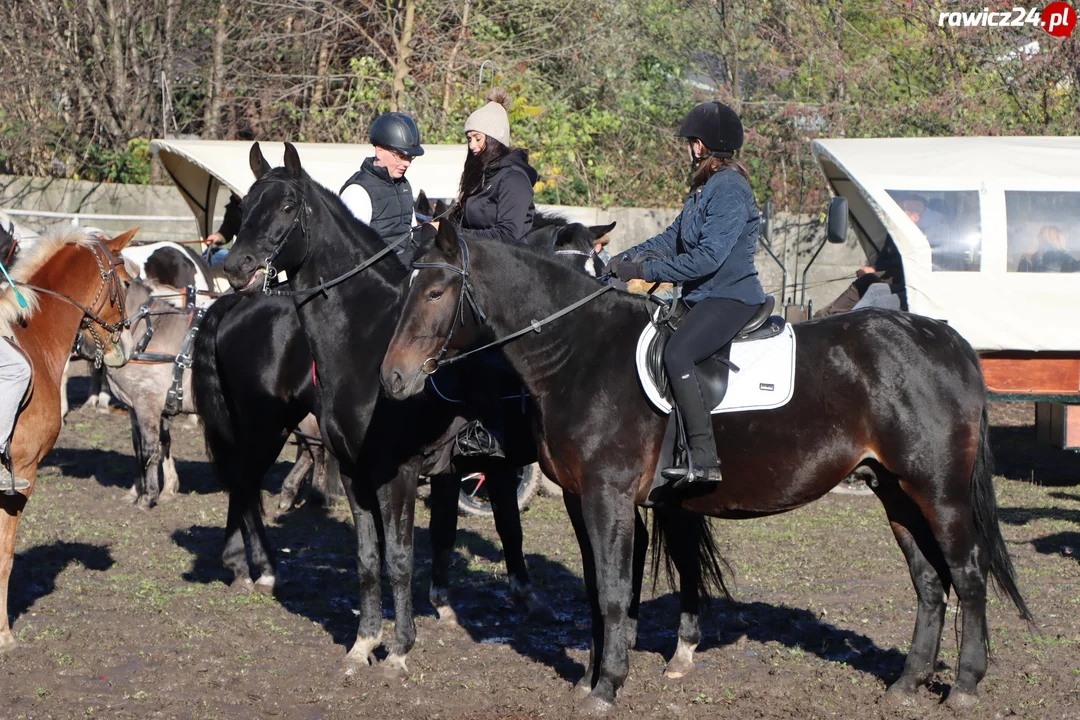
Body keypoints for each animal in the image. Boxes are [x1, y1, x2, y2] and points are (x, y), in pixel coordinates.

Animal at [378, 227, 1028, 712]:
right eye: (404, 288)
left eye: (435, 291)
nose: (393, 378)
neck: (580, 353)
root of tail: (943, 339)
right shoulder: (583, 499)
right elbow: (596, 589)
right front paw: (592, 675)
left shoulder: (610, 497)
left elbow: (613, 591)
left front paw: (607, 687)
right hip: (896, 493)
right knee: (929, 581)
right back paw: (906, 683)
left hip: (938, 491)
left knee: (967, 574)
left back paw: (964, 686)